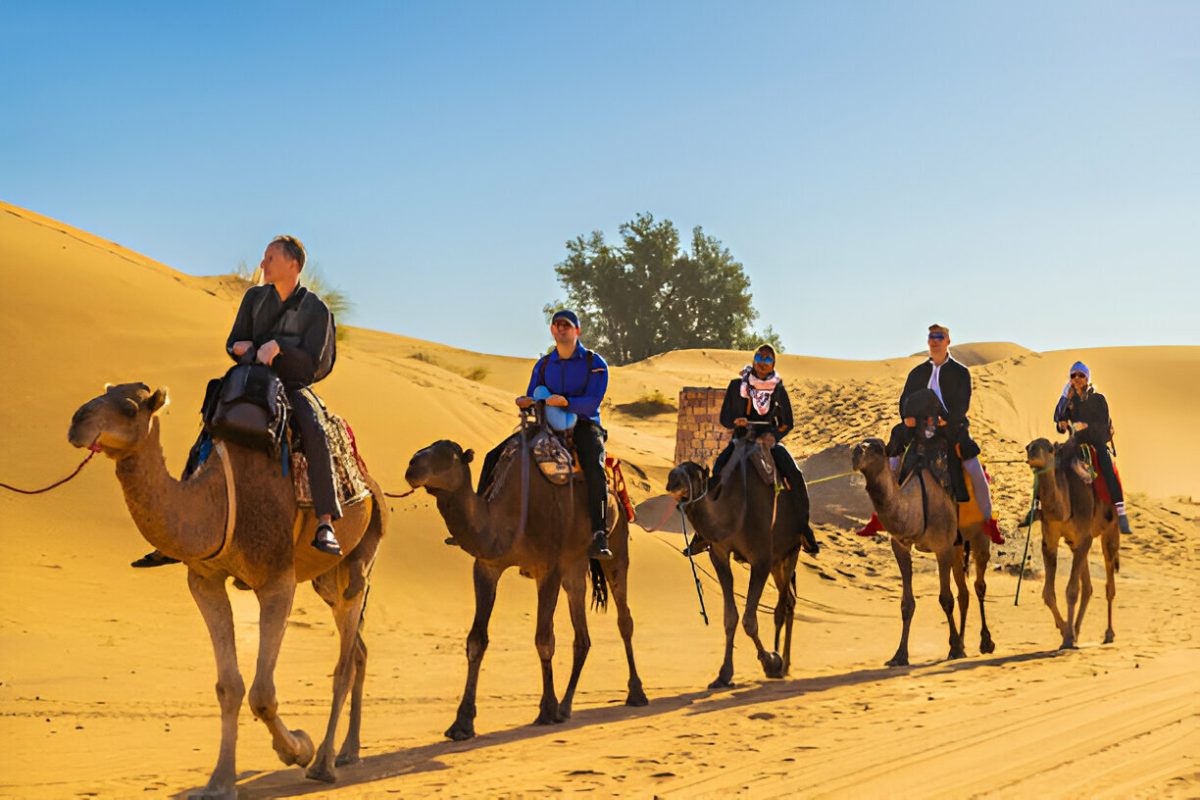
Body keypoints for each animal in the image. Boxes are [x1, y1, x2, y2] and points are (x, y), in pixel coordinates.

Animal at [68, 383, 386, 799]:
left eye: (128, 409)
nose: (77, 423)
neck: (216, 503)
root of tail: (371, 485)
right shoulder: (204, 581)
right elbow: (229, 686)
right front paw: (219, 782)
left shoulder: (277, 580)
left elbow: (262, 695)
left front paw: (298, 748)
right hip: (325, 581)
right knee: (360, 652)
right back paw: (349, 751)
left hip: (358, 558)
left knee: (345, 664)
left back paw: (323, 764)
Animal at [405, 438, 647, 741]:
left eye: (448, 457)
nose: (412, 466)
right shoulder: (486, 566)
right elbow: (476, 640)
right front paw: (462, 723)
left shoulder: (548, 568)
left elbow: (544, 639)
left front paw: (546, 710)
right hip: (575, 565)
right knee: (582, 635)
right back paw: (566, 707)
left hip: (617, 540)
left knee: (624, 618)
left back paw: (636, 693)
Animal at [666, 436, 809, 688]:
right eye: (675, 471)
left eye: (694, 473)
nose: (671, 480)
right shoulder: (719, 555)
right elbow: (730, 617)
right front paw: (724, 674)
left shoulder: (761, 559)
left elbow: (749, 620)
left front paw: (771, 661)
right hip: (777, 561)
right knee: (788, 600)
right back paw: (784, 662)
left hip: (791, 549)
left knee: (784, 604)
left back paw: (783, 663)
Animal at [851, 437, 995, 666]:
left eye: (878, 448)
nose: (856, 451)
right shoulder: (901, 546)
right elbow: (907, 604)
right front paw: (899, 655)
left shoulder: (942, 548)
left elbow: (946, 599)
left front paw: (954, 649)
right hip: (957, 547)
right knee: (964, 593)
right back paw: (963, 642)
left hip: (979, 534)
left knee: (979, 585)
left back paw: (985, 642)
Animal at [1025, 437, 1119, 648]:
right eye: (1029, 446)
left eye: (1049, 449)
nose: (1032, 451)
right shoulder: (1050, 541)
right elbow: (1048, 594)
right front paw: (1066, 632)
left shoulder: (1085, 536)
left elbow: (1071, 591)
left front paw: (1067, 637)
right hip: (1075, 542)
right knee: (1088, 587)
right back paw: (1076, 630)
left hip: (1110, 528)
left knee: (1109, 581)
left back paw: (1108, 634)